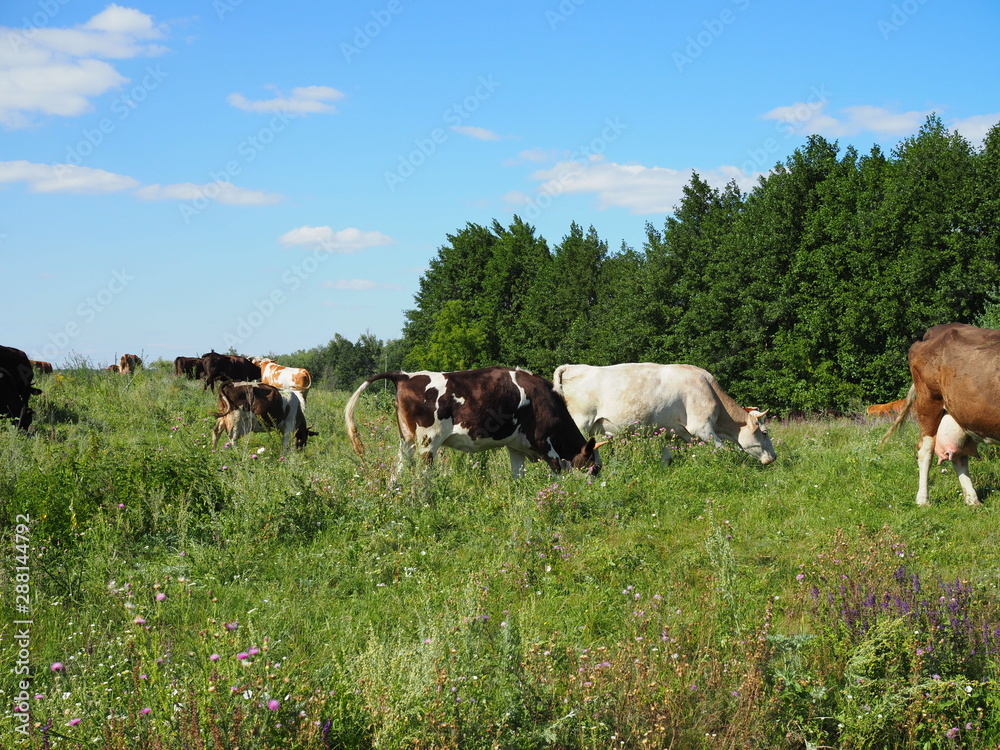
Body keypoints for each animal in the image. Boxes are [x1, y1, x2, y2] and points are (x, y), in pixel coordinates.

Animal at [342, 366, 600, 482]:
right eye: (594, 468)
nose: (596, 488)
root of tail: (405, 375)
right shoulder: (544, 443)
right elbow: (558, 473)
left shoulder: (516, 446)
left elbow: (517, 476)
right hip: (428, 442)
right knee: (422, 477)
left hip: (406, 441)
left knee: (397, 472)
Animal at [552, 362, 776, 468]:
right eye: (764, 432)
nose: (774, 457)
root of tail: (572, 367)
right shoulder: (702, 427)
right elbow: (721, 451)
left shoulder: (672, 432)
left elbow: (667, 456)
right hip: (581, 422)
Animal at [880, 322, 1000, 506]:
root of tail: (937, 330)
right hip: (928, 401)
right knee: (925, 451)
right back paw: (923, 500)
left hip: (959, 413)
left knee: (958, 456)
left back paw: (972, 500)